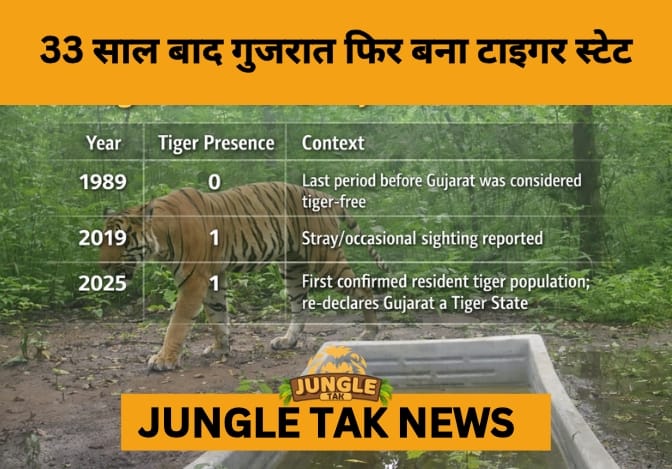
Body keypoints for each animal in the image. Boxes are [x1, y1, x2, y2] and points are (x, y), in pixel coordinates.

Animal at [100, 182, 387, 371]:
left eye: (120, 239)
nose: (102, 266)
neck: (162, 236)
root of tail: (325, 195)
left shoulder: (193, 281)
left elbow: (178, 324)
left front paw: (163, 360)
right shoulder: (213, 277)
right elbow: (217, 315)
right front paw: (220, 348)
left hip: (325, 259)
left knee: (363, 288)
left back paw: (369, 333)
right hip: (292, 267)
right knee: (300, 305)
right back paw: (287, 341)